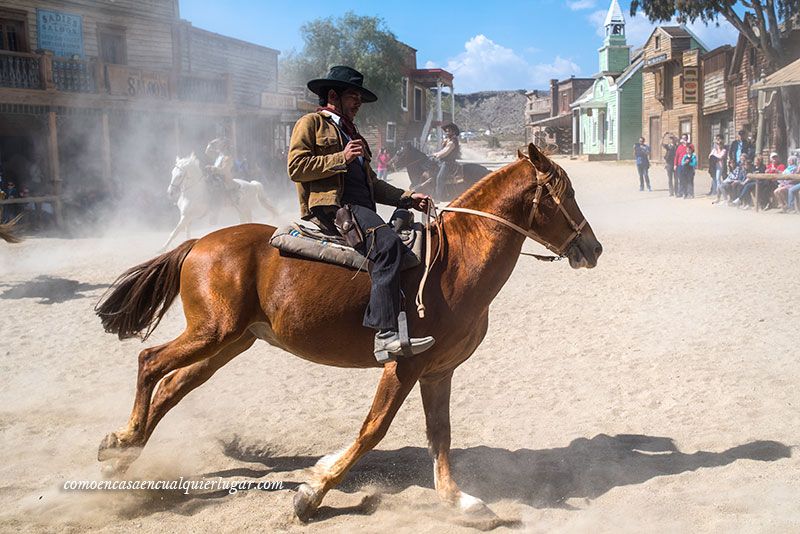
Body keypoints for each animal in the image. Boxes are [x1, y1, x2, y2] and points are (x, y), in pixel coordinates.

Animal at [95, 144, 600, 520]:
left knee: (173, 386)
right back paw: (124, 440)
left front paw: (461, 501)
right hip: (212, 333)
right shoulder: (405, 363)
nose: (593, 248)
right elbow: (373, 428)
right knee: (151, 362)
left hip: (231, 342)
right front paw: (312, 492)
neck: (454, 261)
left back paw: (124, 453)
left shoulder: (439, 372)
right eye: (567, 191)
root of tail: (200, 241)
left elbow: (441, 435)